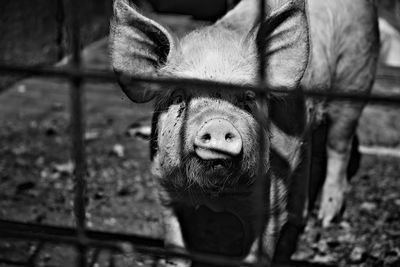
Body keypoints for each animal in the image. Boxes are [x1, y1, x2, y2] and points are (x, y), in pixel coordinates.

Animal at [110, 0, 378, 264]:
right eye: (179, 98)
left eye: (248, 98)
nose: (218, 124)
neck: (217, 197)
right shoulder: (164, 188)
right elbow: (176, 247)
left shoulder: (271, 200)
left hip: (356, 80)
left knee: (339, 146)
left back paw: (327, 217)